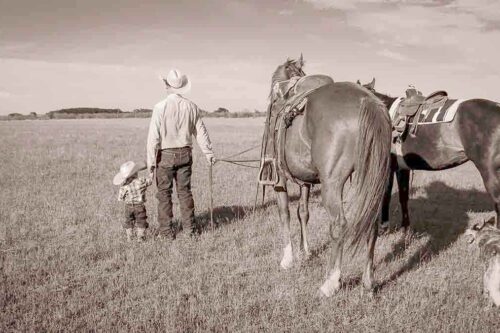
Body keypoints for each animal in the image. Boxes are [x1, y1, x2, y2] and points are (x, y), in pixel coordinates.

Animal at [268, 57, 392, 296]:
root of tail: (367, 101)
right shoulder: (306, 181)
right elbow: (303, 212)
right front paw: (305, 251)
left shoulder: (280, 179)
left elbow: (284, 213)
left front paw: (288, 258)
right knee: (371, 224)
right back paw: (368, 282)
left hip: (332, 185)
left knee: (340, 225)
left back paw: (330, 283)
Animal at [362, 78, 500, 231]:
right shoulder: (401, 168)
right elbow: (403, 196)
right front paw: (405, 228)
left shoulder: (387, 168)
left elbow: (385, 196)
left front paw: (384, 227)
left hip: (490, 172)